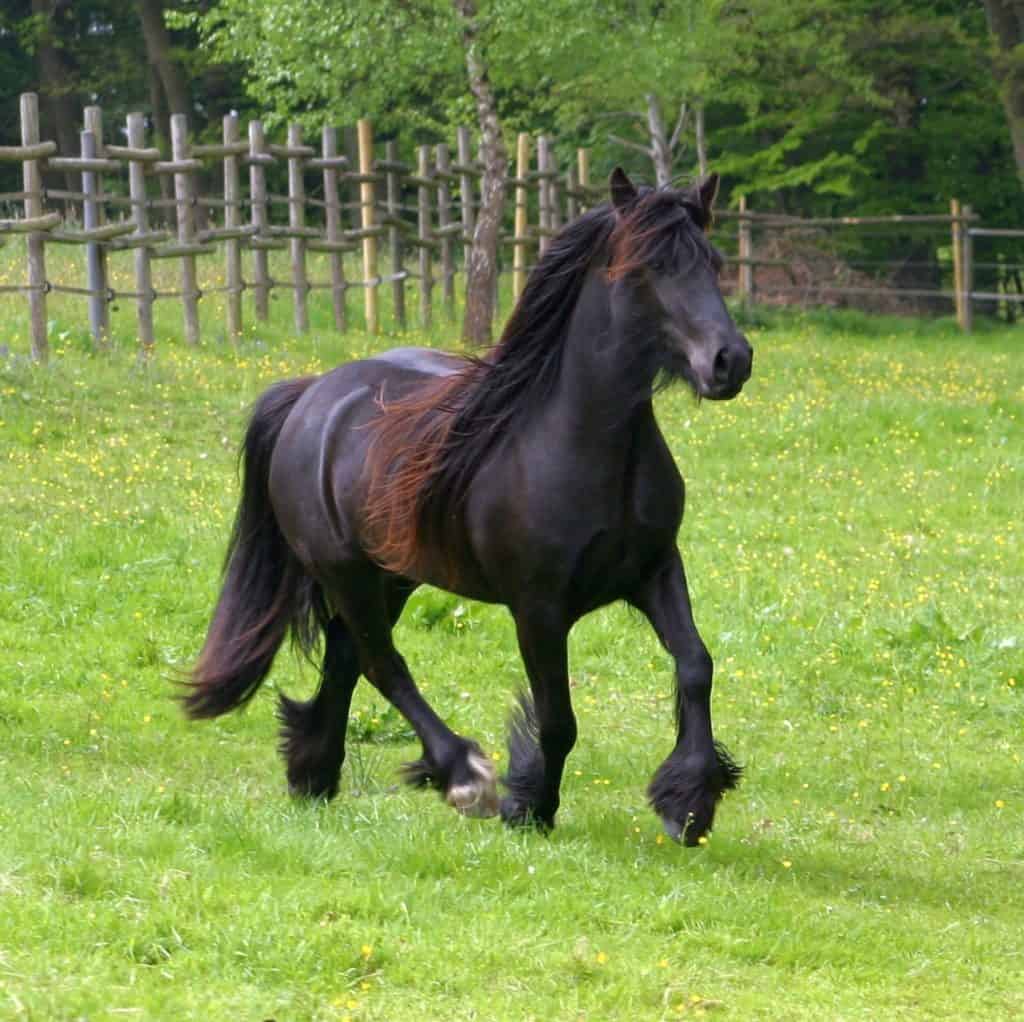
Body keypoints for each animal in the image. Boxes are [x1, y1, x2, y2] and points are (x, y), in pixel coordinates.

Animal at [184, 167, 753, 846]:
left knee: (348, 656)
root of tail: (311, 395)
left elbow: (696, 665)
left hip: (393, 576)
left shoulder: (655, 570)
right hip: (346, 572)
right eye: (651, 266)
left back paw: (313, 773)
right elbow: (558, 717)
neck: (580, 443)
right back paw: (461, 776)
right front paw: (528, 804)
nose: (730, 361)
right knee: (381, 661)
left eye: (714, 262)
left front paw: (688, 800)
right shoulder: (538, 608)